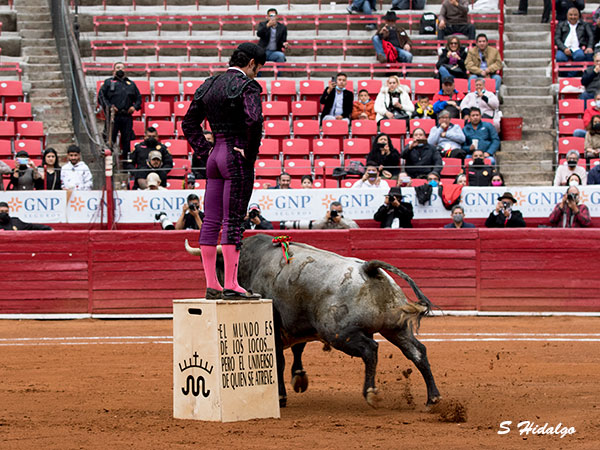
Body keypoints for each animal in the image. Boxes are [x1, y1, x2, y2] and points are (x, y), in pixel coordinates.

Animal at [185, 236, 442, 408]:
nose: (210, 293)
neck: (254, 262)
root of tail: (368, 268)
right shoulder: (297, 325)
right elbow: (298, 349)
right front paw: (299, 378)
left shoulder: (275, 327)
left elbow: (278, 361)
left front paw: (280, 396)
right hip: (395, 328)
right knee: (418, 352)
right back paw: (433, 398)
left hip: (339, 333)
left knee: (371, 350)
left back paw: (371, 392)